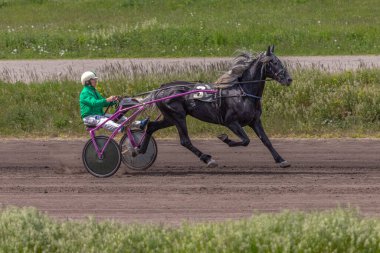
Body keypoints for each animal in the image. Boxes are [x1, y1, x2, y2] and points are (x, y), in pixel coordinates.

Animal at [138, 46, 292, 168]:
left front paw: (281, 160)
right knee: (185, 141)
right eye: (274, 62)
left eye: (279, 61)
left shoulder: (255, 121)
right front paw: (225, 138)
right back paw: (207, 159)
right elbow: (245, 140)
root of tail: (161, 89)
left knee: (151, 126)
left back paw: (140, 150)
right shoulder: (231, 122)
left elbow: (266, 140)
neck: (242, 92)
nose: (289, 79)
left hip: (170, 118)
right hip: (178, 117)